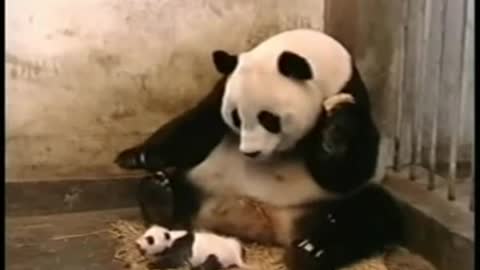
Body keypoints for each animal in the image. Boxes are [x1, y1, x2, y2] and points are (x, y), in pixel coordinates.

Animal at [115, 28, 404, 268]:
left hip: (316, 205)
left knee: (371, 212)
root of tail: (255, 222)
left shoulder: (354, 95)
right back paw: (160, 195)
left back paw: (311, 250)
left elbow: (348, 170)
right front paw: (136, 157)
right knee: (174, 189)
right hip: (201, 184)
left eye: (269, 119)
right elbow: (196, 127)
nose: (251, 153)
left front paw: (334, 130)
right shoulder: (223, 89)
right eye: (236, 117)